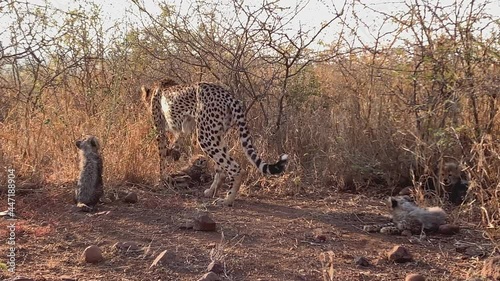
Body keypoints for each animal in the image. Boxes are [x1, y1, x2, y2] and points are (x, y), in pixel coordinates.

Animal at [141, 79, 290, 206]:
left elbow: (162, 156)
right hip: (216, 134)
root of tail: (228, 95)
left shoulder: (160, 130)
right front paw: (172, 156)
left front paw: (162, 180)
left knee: (236, 168)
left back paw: (227, 200)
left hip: (205, 136)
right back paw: (211, 191)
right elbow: (173, 147)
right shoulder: (182, 130)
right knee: (221, 169)